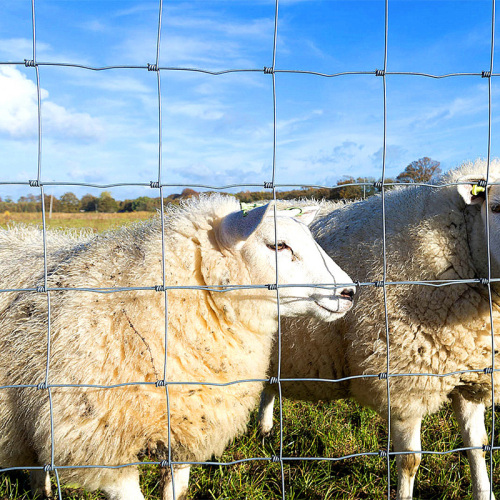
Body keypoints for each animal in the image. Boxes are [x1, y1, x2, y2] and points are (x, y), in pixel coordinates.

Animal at [260, 160, 500, 500]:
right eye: (495, 207)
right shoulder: (402, 383)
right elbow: (410, 461)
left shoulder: (469, 373)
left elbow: (478, 447)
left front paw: (484, 492)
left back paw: (265, 428)